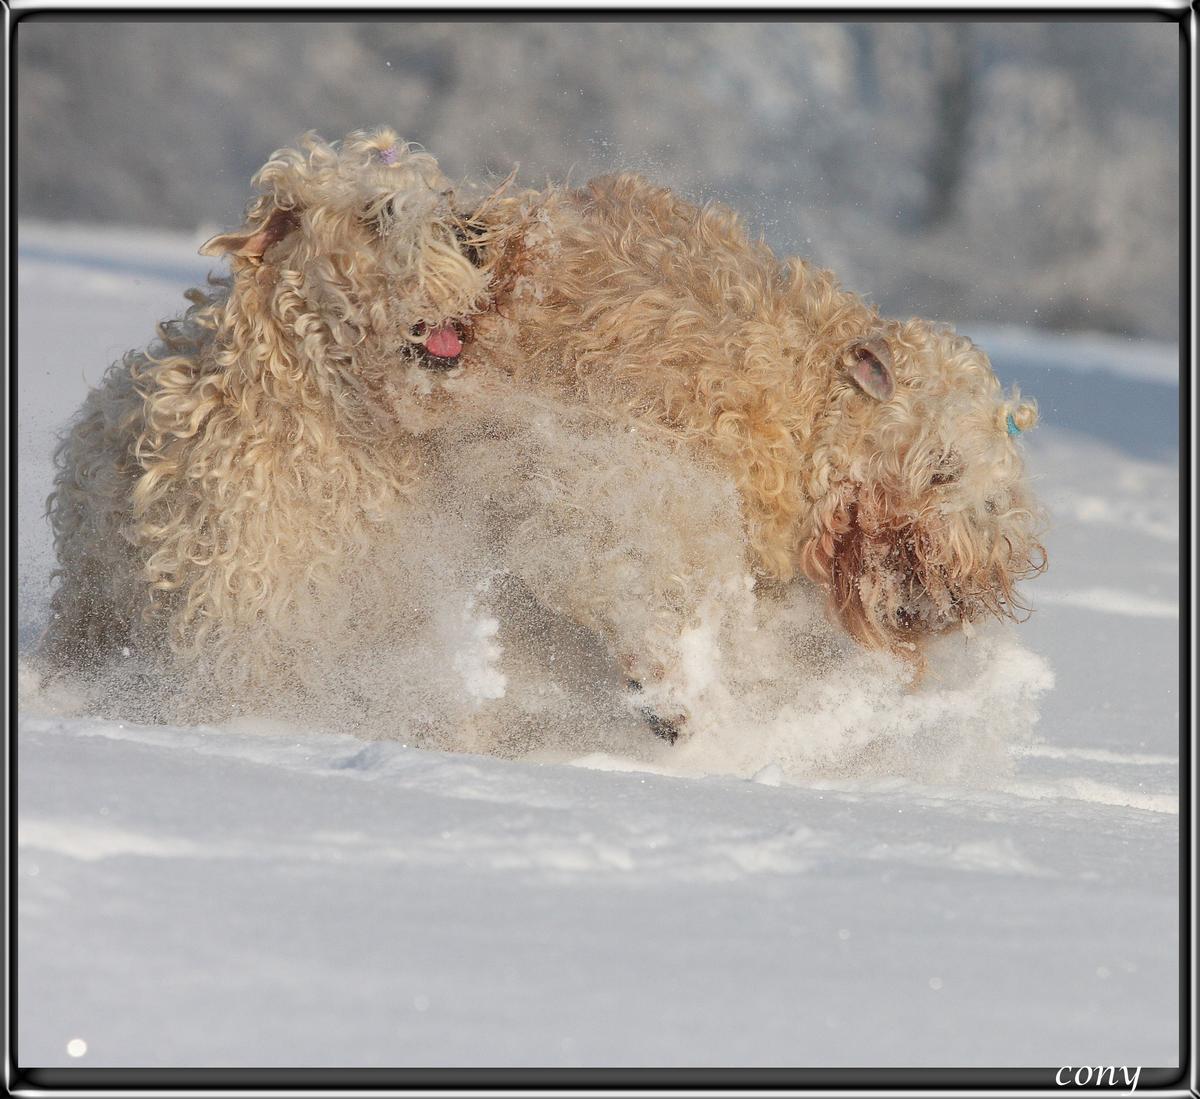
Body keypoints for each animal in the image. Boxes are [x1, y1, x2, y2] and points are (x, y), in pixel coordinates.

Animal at [44, 124, 1041, 734]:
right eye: (945, 469)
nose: (971, 587)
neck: (800, 405)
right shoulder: (610, 463)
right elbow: (635, 560)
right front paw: (666, 685)